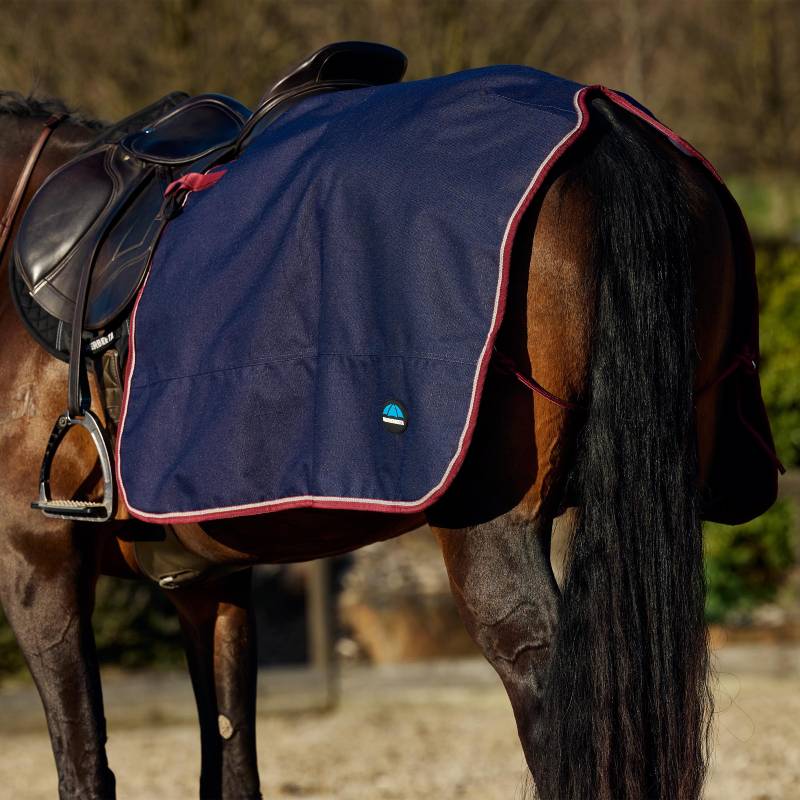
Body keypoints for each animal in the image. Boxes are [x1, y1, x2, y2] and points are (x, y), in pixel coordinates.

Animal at [0, 87, 753, 800]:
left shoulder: (37, 562)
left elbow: (84, 769)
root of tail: (600, 120)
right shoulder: (207, 580)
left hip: (492, 530)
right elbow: (232, 765)